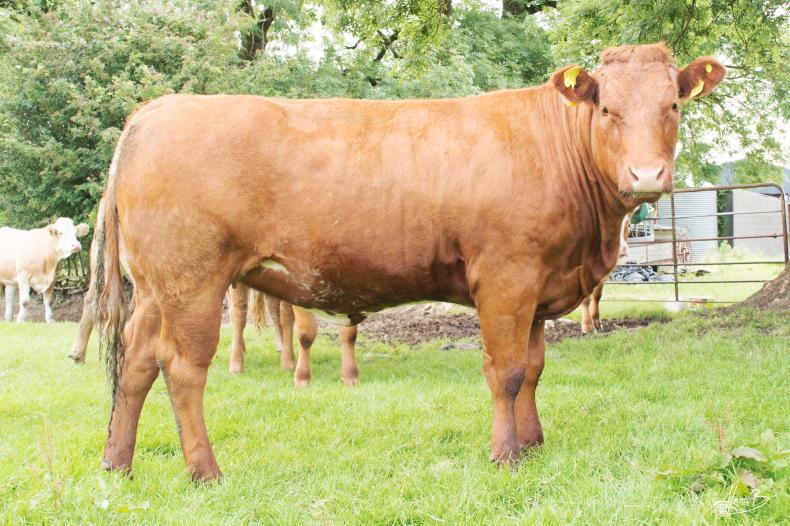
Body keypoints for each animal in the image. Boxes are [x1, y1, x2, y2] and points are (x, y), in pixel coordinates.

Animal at [93, 42, 724, 481]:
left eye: (672, 104)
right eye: (607, 108)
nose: (647, 175)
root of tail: (154, 110)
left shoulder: (539, 287)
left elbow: (534, 369)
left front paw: (533, 443)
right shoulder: (506, 279)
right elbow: (506, 371)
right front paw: (505, 456)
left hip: (156, 287)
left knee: (138, 362)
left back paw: (117, 465)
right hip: (194, 281)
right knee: (182, 369)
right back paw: (205, 472)